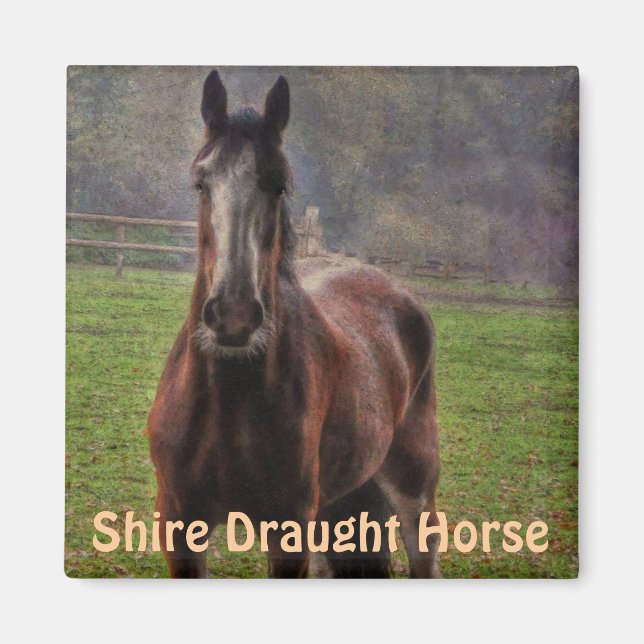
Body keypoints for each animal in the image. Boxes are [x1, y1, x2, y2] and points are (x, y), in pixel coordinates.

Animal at [147, 70, 442, 578]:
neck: (230, 401)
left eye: (280, 185)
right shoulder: (180, 526)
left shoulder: (289, 532)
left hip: (413, 488)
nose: (234, 316)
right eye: (201, 183)